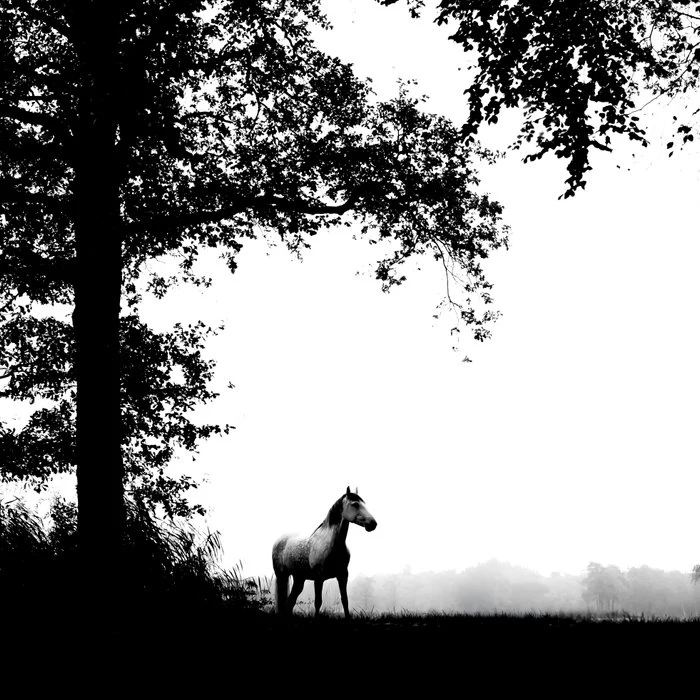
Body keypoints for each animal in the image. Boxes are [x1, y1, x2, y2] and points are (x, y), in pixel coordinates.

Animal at [272, 487, 377, 618]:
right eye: (355, 504)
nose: (373, 524)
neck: (333, 544)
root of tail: (279, 541)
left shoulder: (343, 576)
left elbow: (345, 600)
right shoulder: (319, 578)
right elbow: (318, 602)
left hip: (299, 579)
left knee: (290, 601)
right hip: (282, 576)